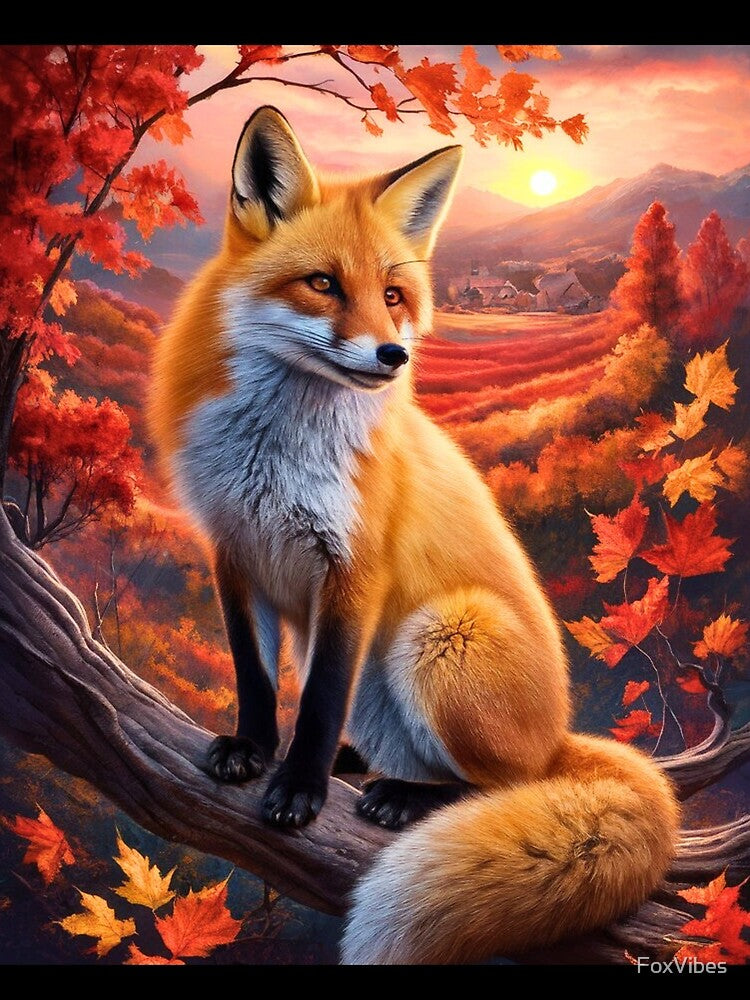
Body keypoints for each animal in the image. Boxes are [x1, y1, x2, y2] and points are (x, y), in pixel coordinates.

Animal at [148, 106, 679, 965]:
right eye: (323, 283)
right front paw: (253, 749)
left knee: (502, 786)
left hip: (444, 631)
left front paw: (298, 788)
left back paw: (403, 795)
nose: (393, 355)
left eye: (393, 296)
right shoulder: (235, 552)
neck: (277, 454)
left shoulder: (353, 570)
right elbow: (257, 679)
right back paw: (359, 762)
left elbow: (320, 697)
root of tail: (560, 738)